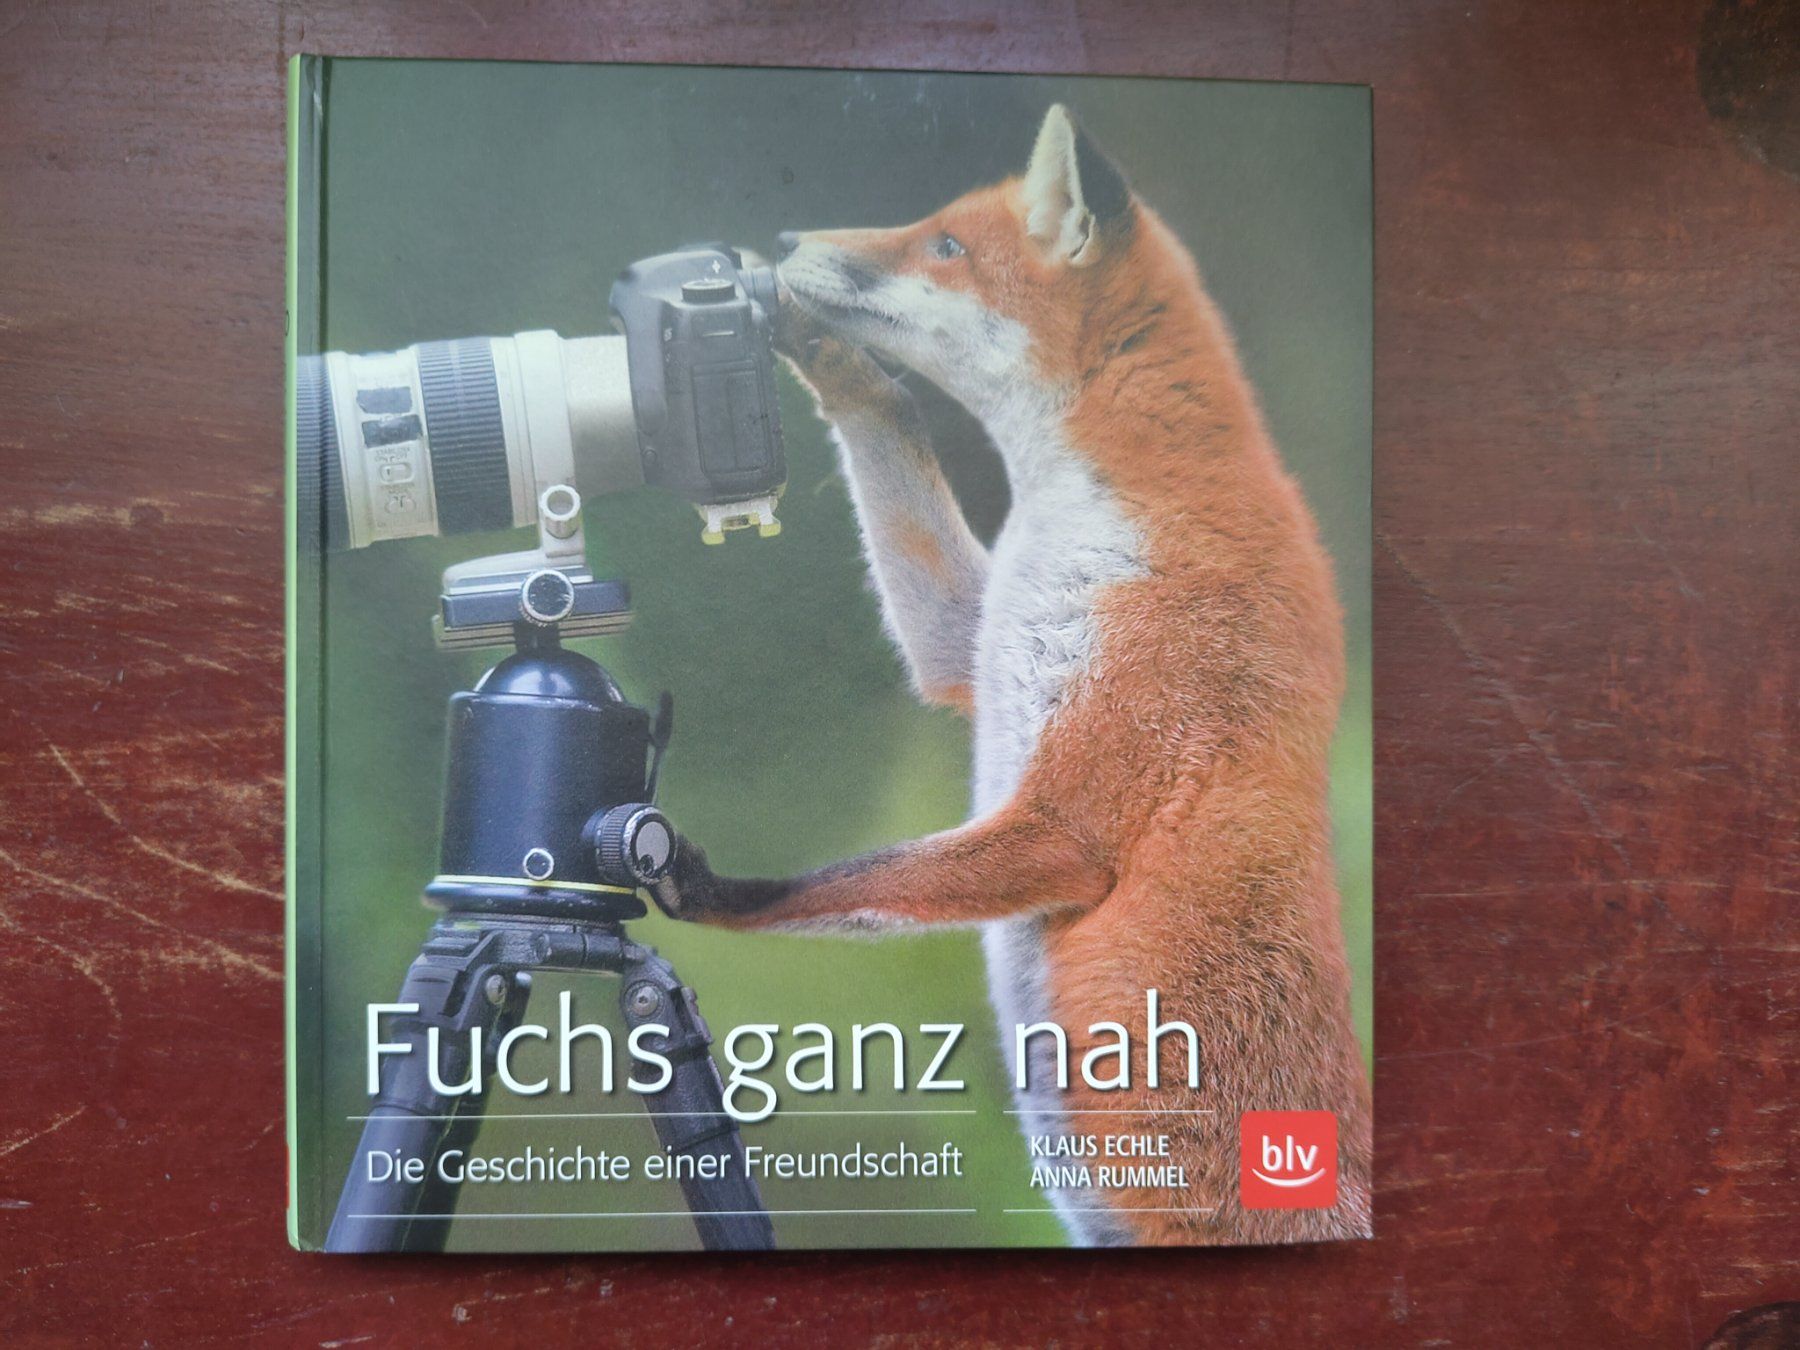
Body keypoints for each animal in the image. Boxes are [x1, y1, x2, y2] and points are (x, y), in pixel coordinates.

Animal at [651, 104, 1371, 1246]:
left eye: (945, 245)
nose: (787, 242)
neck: (1080, 516)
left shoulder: (1072, 811)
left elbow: (844, 882)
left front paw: (709, 888)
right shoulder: (973, 643)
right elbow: (894, 428)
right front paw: (820, 353)